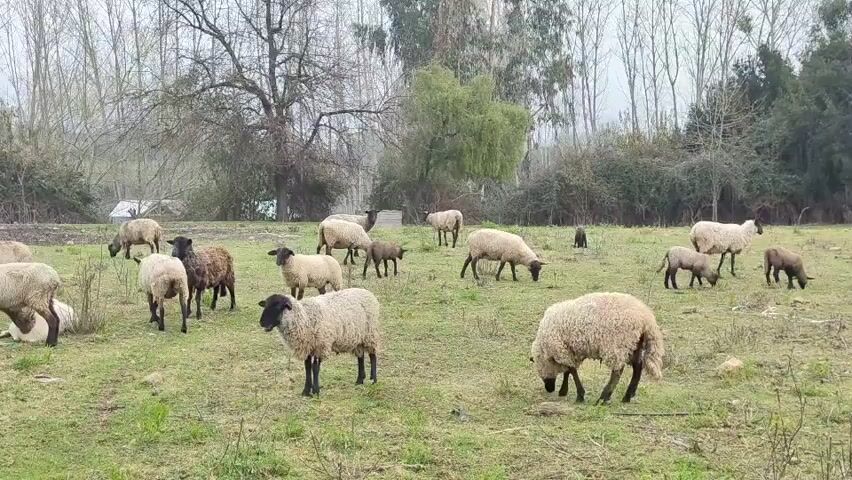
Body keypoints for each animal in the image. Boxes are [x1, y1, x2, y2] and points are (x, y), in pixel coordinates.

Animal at [530, 292, 665, 404]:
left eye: (540, 368)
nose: (549, 389)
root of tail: (646, 317)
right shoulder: (569, 350)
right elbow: (569, 370)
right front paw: (564, 390)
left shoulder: (561, 350)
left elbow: (572, 370)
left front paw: (579, 395)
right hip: (635, 343)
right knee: (638, 367)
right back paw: (627, 396)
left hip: (616, 344)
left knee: (618, 371)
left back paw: (604, 397)